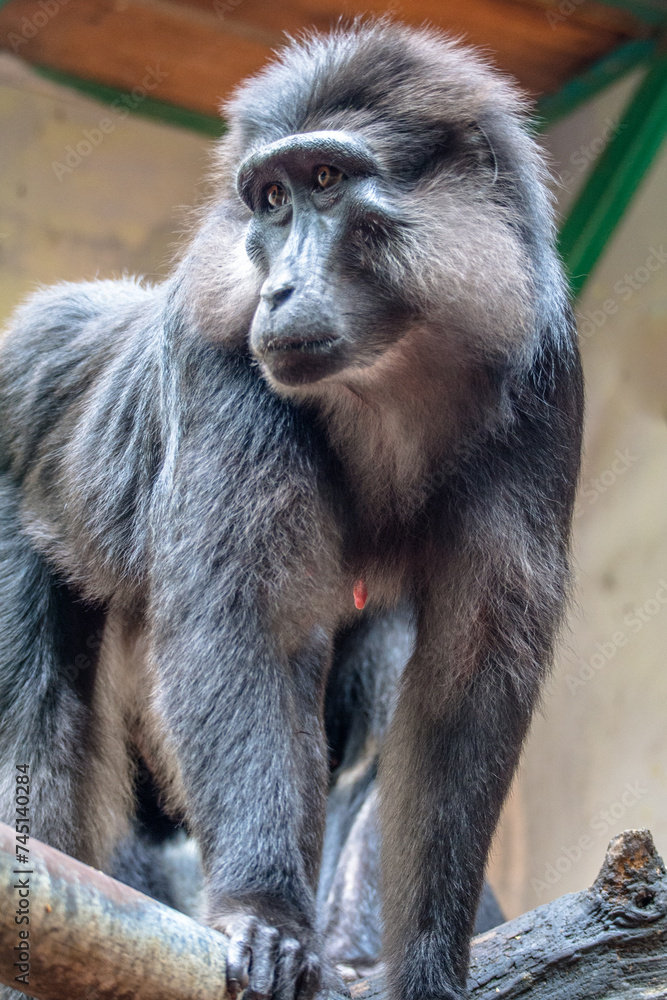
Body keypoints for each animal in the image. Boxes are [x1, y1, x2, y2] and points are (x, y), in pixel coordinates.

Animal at [0, 19, 583, 1000]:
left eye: (325, 182)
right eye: (270, 200)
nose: (276, 288)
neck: (390, 379)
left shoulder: (544, 378)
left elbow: (464, 683)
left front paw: (425, 961)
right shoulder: (219, 352)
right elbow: (246, 624)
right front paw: (268, 916)